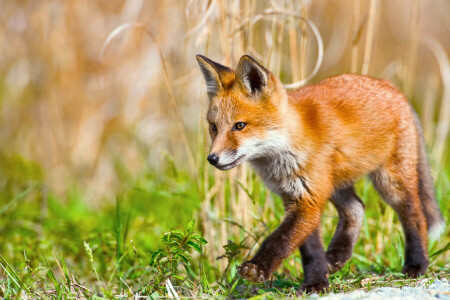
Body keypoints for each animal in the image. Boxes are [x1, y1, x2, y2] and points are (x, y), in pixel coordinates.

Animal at [195, 54, 444, 292]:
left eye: (240, 126)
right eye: (214, 127)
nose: (212, 159)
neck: (286, 149)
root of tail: (392, 88)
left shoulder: (308, 197)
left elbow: (280, 240)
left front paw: (258, 268)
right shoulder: (298, 196)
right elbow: (309, 248)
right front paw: (316, 282)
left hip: (390, 182)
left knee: (415, 215)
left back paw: (417, 264)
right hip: (335, 183)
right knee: (356, 208)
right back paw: (336, 256)